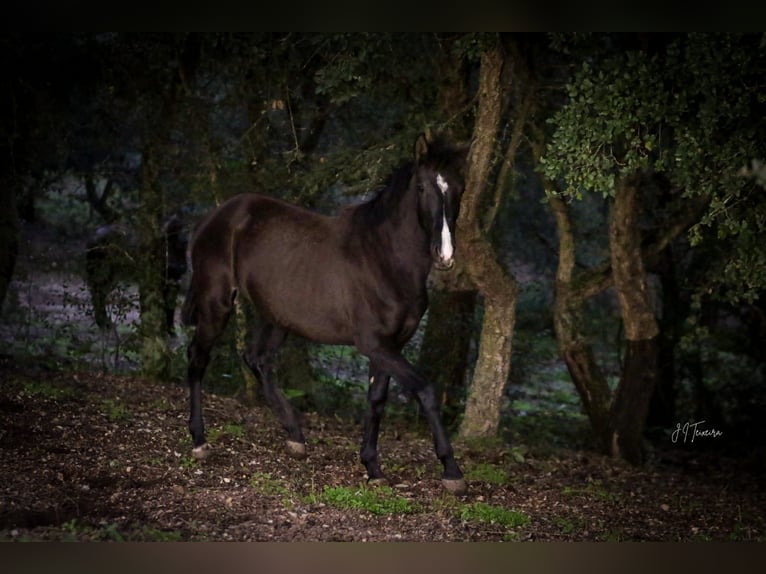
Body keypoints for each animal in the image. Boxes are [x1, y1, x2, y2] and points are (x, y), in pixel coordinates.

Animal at [182, 135, 468, 496]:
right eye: (421, 187)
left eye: (459, 187)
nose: (444, 255)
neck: (384, 257)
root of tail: (211, 218)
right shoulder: (375, 344)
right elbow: (426, 390)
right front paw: (452, 471)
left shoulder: (390, 346)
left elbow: (377, 399)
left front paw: (372, 467)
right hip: (215, 303)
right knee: (198, 358)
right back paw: (199, 441)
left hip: (276, 317)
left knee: (257, 359)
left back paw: (295, 437)